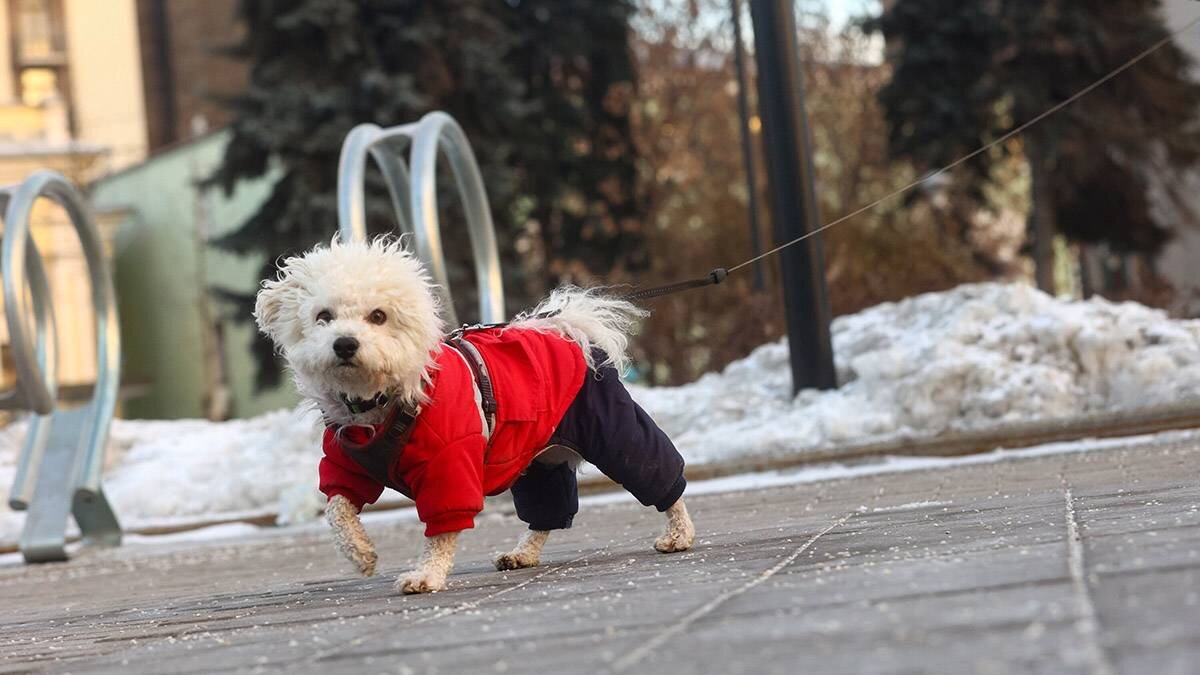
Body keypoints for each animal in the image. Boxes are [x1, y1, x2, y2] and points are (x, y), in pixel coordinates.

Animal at [255, 235, 696, 588]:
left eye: (378, 316)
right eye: (323, 316)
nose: (345, 343)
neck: (381, 401)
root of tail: (565, 327)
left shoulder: (449, 464)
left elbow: (441, 532)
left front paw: (427, 575)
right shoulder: (348, 465)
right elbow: (337, 510)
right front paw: (361, 554)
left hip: (614, 432)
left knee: (659, 475)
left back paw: (679, 534)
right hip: (540, 461)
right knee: (548, 512)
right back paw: (523, 553)